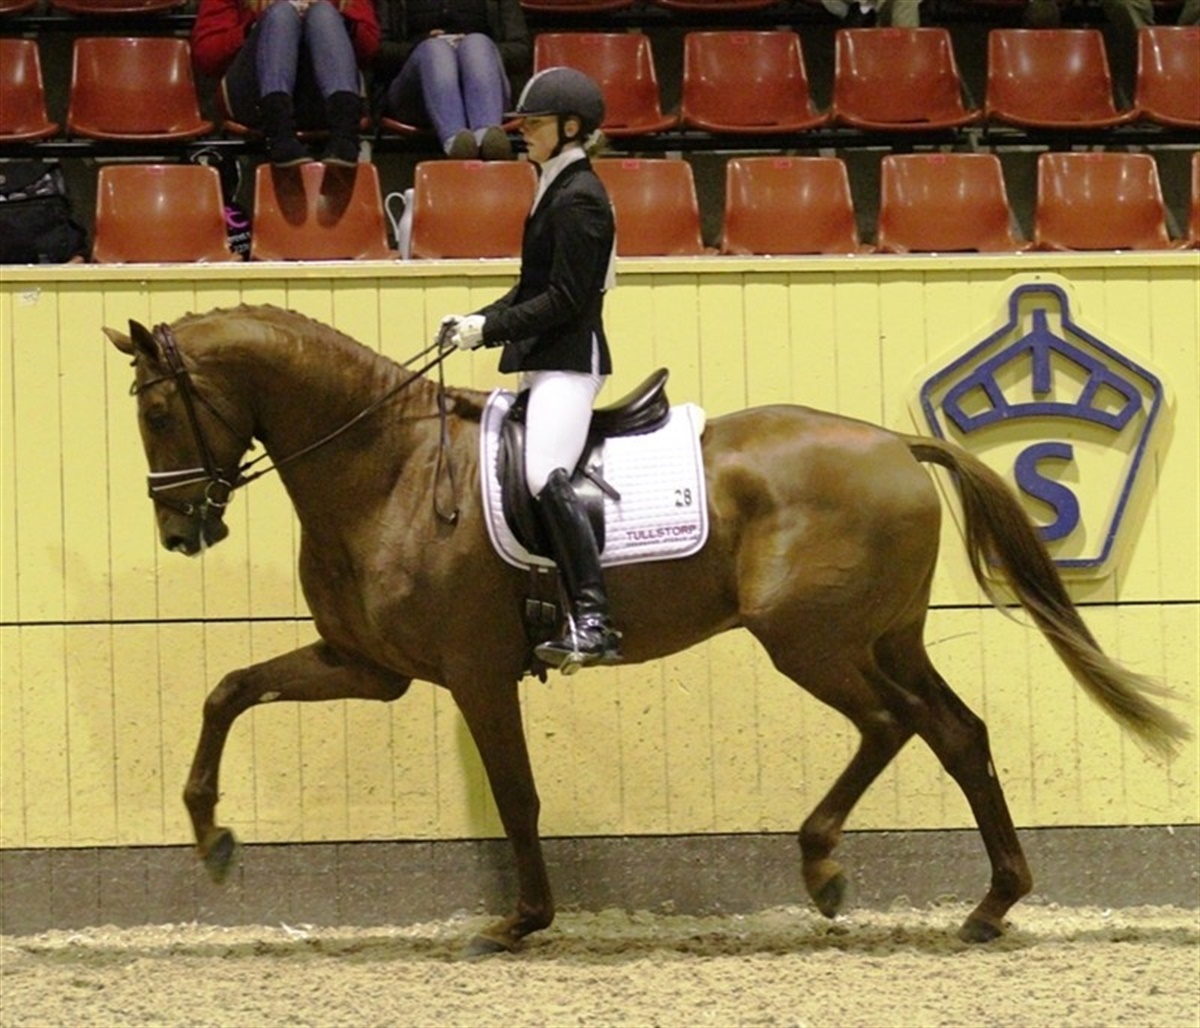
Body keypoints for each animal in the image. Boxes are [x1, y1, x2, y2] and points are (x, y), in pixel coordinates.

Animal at [106, 304, 1188, 955]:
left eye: (158, 411)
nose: (179, 527)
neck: (390, 471)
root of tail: (894, 442)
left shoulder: (474, 671)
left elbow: (518, 797)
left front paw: (522, 920)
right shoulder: (368, 665)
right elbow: (229, 689)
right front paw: (212, 836)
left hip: (812, 641)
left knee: (899, 726)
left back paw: (840, 870)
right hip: (881, 638)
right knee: (955, 733)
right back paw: (982, 901)